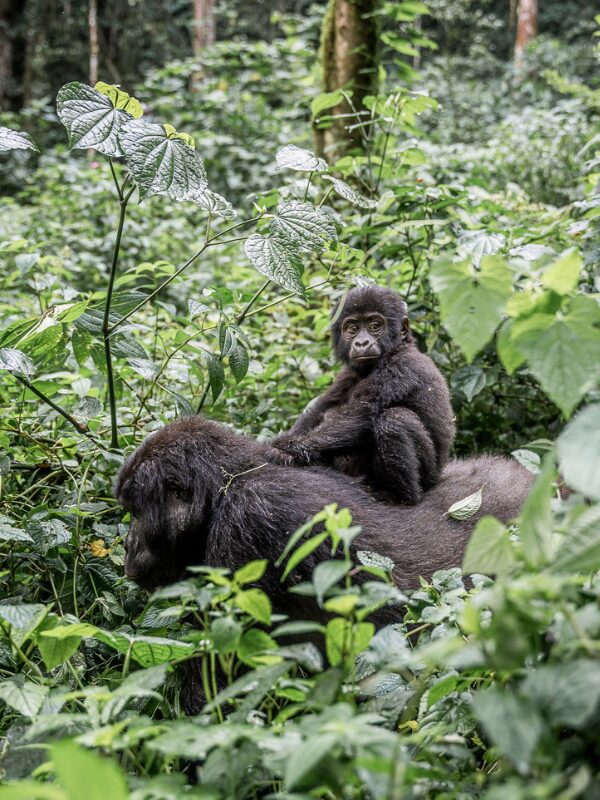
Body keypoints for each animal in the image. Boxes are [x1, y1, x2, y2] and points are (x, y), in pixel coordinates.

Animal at [272, 286, 455, 505]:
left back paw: (400, 496)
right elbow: (321, 409)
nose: (361, 343)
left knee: (395, 420)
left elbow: (361, 412)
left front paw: (288, 449)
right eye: (352, 328)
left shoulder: (401, 366)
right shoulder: (347, 374)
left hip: (429, 477)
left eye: (375, 325)